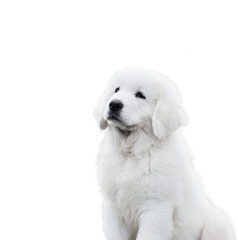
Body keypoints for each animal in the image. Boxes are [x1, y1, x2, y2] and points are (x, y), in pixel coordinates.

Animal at [94, 68, 235, 240]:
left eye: (140, 95)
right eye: (116, 90)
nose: (114, 104)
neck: (132, 153)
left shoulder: (155, 207)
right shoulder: (113, 207)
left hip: (215, 225)